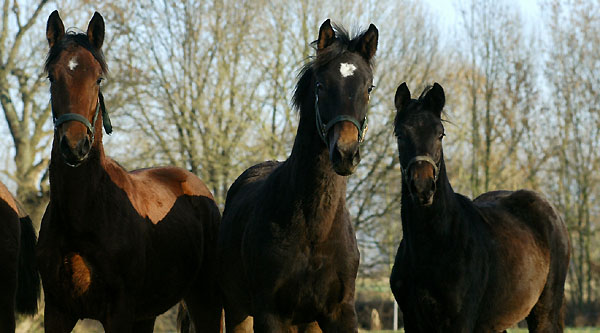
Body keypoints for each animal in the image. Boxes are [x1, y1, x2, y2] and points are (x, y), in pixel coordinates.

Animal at [35, 10, 223, 332]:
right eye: (52, 77)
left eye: (98, 78)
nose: (74, 146)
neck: (83, 217)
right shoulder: (57, 312)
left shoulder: (119, 313)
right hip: (147, 314)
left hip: (206, 302)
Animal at [214, 19, 376, 330]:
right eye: (321, 85)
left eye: (369, 88)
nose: (345, 153)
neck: (315, 229)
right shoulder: (270, 314)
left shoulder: (340, 313)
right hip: (238, 310)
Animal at [390, 81, 572, 330]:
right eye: (400, 135)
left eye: (440, 134)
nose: (423, 187)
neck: (435, 245)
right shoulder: (412, 320)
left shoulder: (461, 321)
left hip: (545, 311)